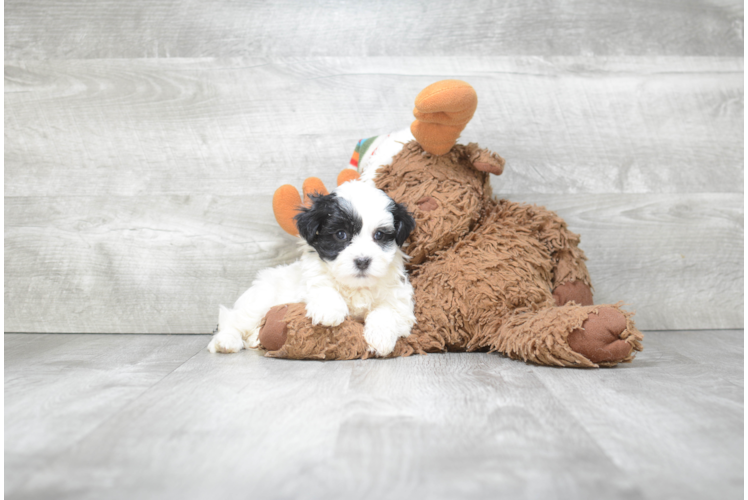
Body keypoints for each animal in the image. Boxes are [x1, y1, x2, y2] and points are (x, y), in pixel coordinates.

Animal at [207, 182, 418, 358]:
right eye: (341, 234)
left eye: (379, 235)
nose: (362, 261)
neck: (356, 287)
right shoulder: (308, 281)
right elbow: (321, 286)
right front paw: (329, 310)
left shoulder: (399, 300)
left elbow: (388, 311)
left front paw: (381, 338)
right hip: (259, 300)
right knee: (233, 319)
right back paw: (225, 341)